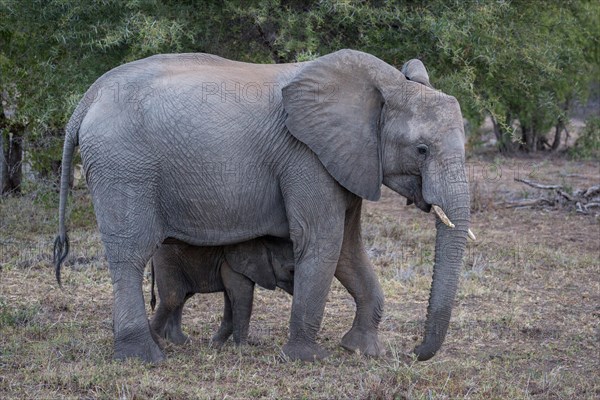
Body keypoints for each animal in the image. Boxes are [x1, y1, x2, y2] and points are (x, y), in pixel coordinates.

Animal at [148, 238, 292, 346]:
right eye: (291, 271)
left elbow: (231, 298)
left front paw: (214, 345)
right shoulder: (236, 262)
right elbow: (241, 297)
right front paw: (243, 349)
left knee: (181, 297)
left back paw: (181, 342)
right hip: (167, 259)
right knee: (173, 297)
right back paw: (157, 341)